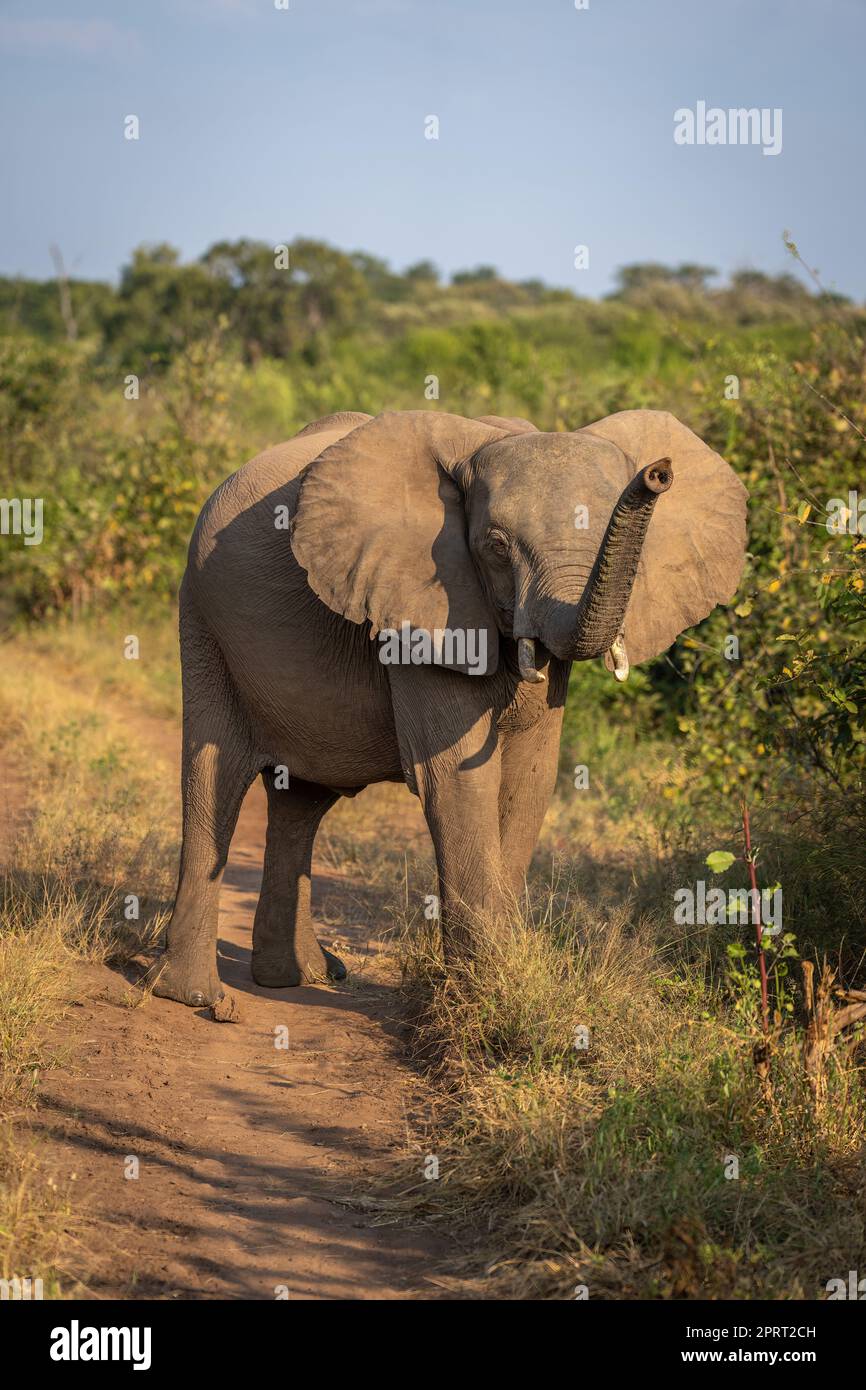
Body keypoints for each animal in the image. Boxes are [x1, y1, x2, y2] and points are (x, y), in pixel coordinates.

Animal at [152, 405, 750, 1006]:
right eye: (497, 546)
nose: (658, 473)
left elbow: (531, 778)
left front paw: (500, 980)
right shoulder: (419, 613)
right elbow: (457, 779)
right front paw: (487, 995)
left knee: (300, 802)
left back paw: (303, 978)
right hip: (203, 620)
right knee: (215, 779)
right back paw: (199, 998)